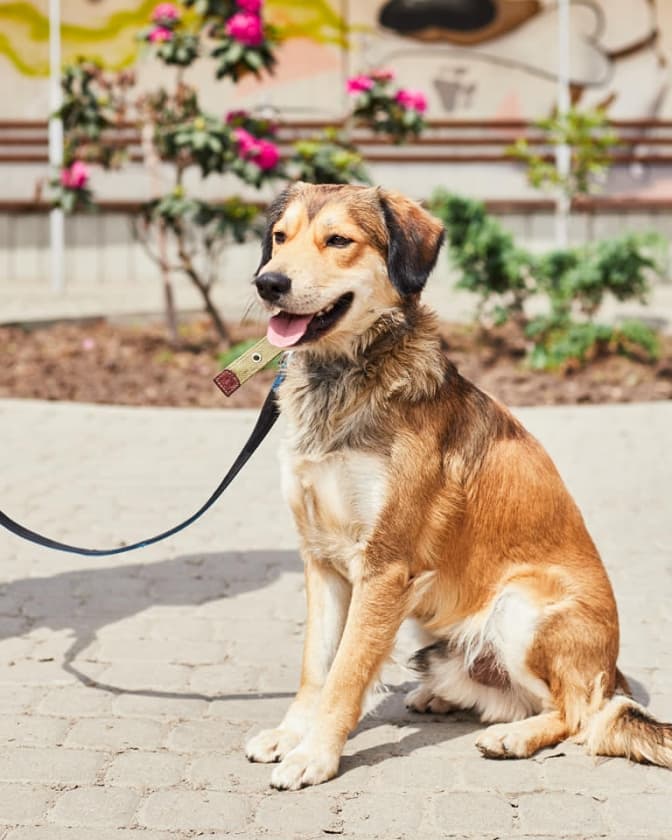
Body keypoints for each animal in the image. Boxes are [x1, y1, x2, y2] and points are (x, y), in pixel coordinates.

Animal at [245, 181, 672, 790]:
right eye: (280, 238)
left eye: (338, 241)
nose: (268, 283)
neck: (343, 380)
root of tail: (614, 674)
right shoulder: (321, 559)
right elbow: (316, 666)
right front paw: (289, 734)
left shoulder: (385, 566)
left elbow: (347, 672)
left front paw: (315, 756)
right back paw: (446, 700)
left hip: (521, 607)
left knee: (578, 714)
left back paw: (515, 737)